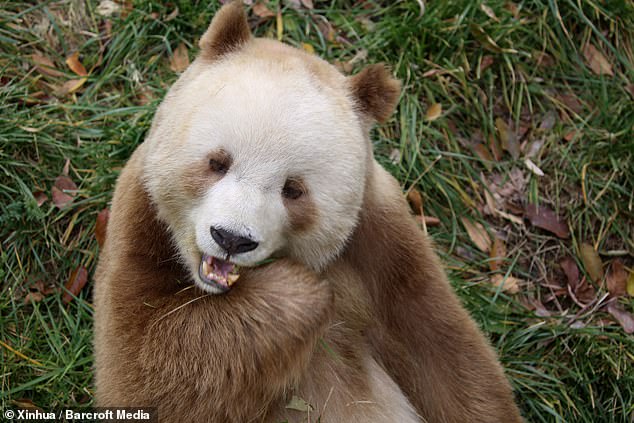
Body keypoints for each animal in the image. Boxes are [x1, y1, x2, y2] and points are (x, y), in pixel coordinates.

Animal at [92, 1, 520, 422]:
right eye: (218, 162)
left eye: (293, 190)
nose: (231, 238)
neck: (219, 294)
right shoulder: (138, 219)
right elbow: (148, 371)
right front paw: (299, 292)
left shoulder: (382, 242)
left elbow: (448, 358)